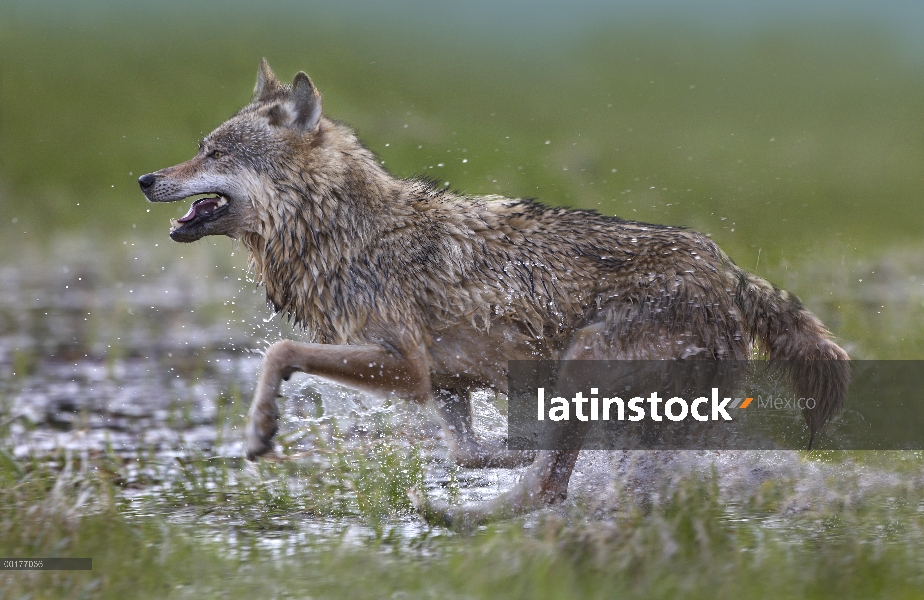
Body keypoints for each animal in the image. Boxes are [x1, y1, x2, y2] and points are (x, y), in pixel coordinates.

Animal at [139, 61, 852, 528]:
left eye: (213, 152)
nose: (145, 178)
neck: (342, 229)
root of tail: (731, 273)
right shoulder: (444, 384)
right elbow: (470, 447)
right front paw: (507, 449)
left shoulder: (406, 365)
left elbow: (278, 353)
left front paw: (261, 430)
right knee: (566, 478)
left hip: (582, 363)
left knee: (549, 491)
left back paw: (453, 515)